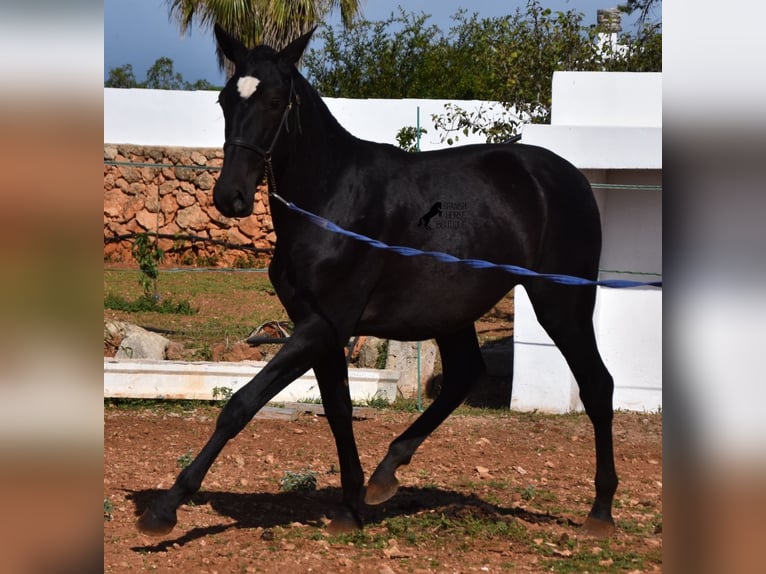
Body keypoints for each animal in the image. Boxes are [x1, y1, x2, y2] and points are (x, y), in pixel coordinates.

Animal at [136, 25, 616, 540]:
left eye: (275, 101)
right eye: (225, 100)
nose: (231, 197)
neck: (331, 201)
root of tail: (570, 178)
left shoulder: (322, 325)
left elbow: (241, 404)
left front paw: (165, 509)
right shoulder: (319, 330)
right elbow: (338, 411)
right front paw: (349, 507)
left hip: (561, 303)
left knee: (597, 385)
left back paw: (601, 510)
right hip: (452, 312)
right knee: (464, 375)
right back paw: (386, 474)